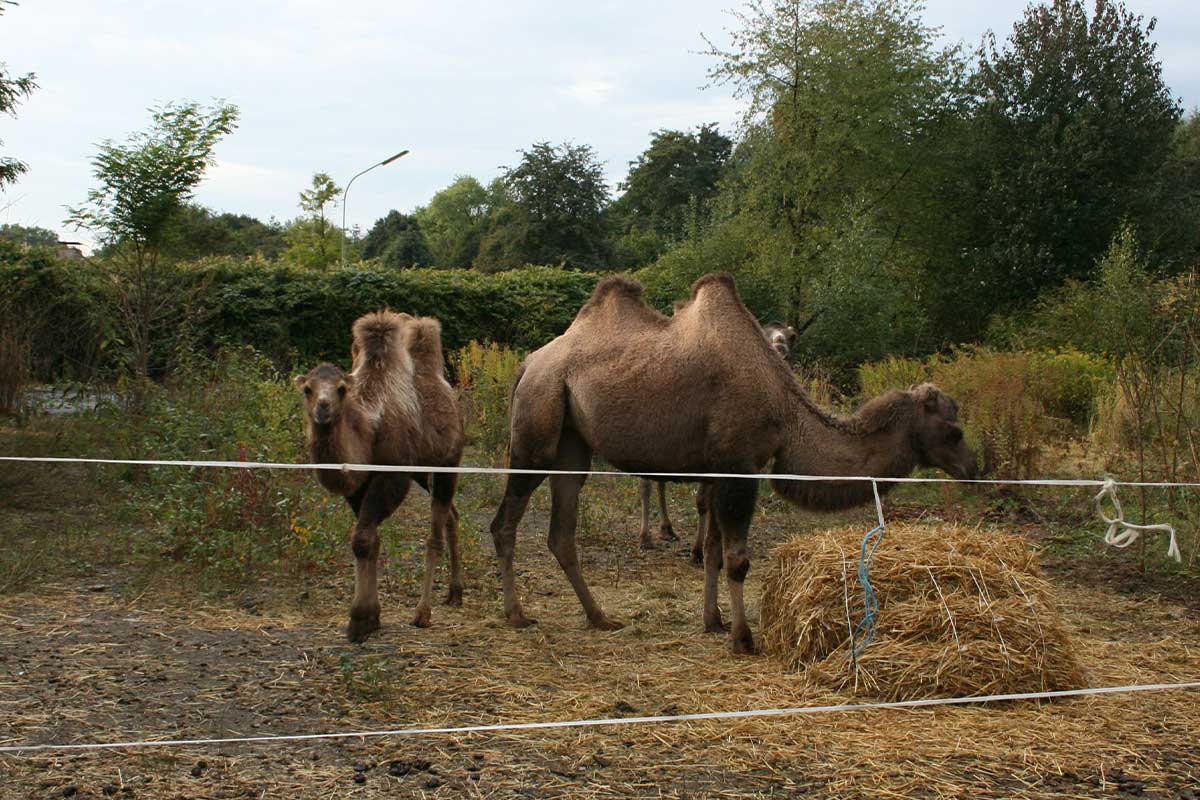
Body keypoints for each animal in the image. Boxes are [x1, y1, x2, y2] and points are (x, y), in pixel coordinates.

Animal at [297, 309, 465, 642]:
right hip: (423, 473)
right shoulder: (358, 486)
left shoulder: (392, 476)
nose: (323, 409)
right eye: (307, 389)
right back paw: (455, 593)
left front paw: (360, 619)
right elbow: (368, 541)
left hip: (448, 461)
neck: (369, 426)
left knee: (435, 533)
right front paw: (370, 617)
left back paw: (423, 613)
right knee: (451, 514)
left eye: (341, 389)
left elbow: (363, 539)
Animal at [638, 319, 796, 551]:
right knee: (647, 483)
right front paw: (698, 550)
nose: (779, 346)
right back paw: (646, 537)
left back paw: (667, 530)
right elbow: (703, 501)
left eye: (792, 337)